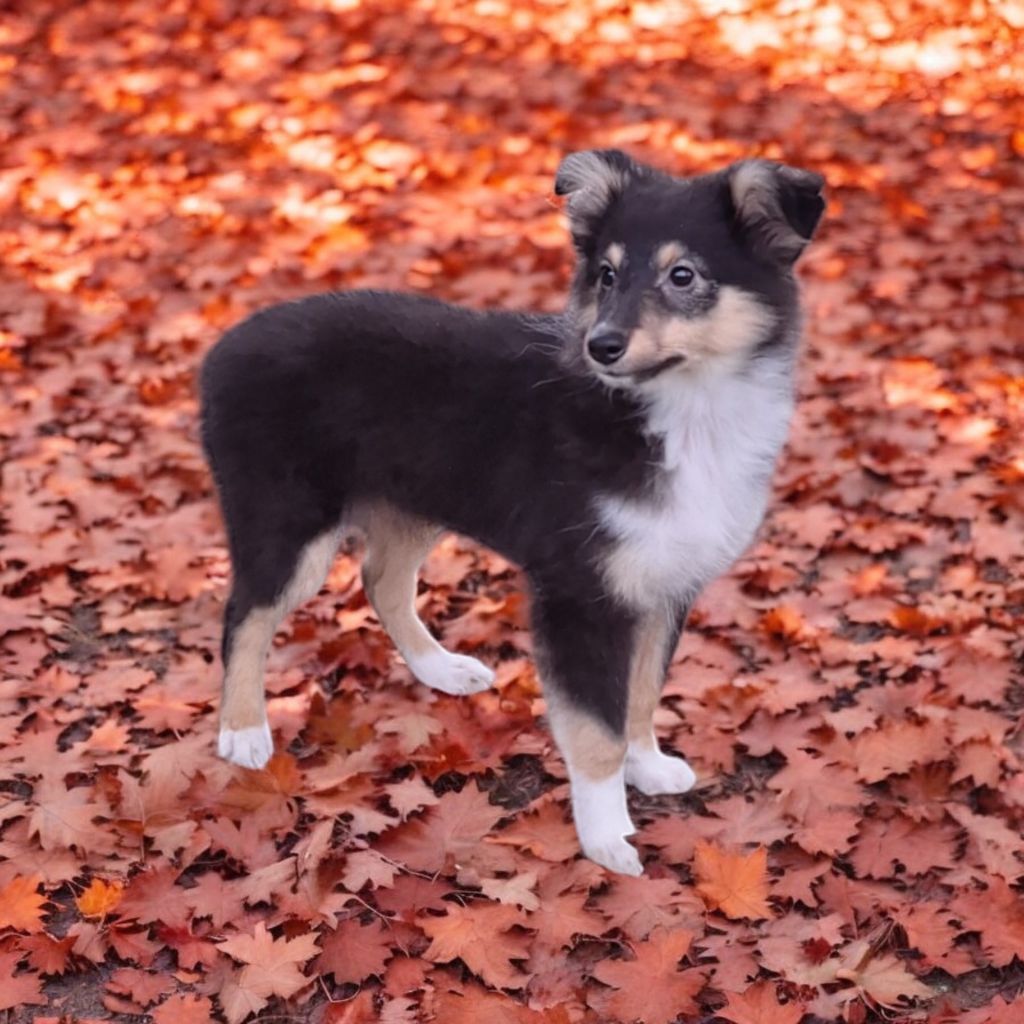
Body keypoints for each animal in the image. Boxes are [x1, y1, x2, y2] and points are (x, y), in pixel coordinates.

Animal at [199, 148, 823, 876]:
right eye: (606, 274)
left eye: (683, 275)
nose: (601, 346)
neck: (682, 412)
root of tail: (221, 348)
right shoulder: (579, 592)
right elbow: (597, 728)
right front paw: (607, 834)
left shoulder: (661, 585)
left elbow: (641, 692)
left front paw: (647, 764)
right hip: (288, 519)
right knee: (245, 615)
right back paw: (243, 731)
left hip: (413, 499)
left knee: (381, 581)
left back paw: (440, 669)